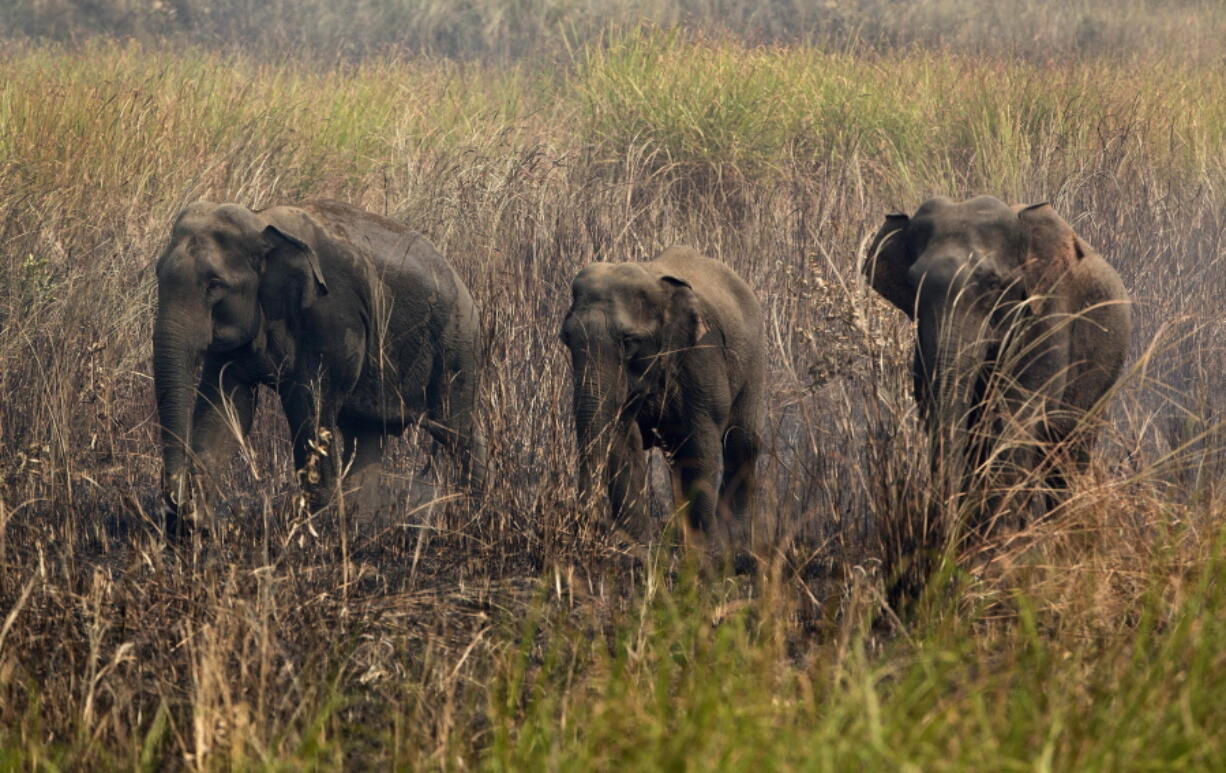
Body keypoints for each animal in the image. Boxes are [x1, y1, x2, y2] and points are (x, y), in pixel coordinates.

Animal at [149, 196, 483, 531]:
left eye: (214, 285)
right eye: (158, 275)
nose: (180, 509)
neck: (262, 223)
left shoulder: (332, 317)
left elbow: (309, 408)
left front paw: (315, 531)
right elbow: (226, 408)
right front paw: (197, 528)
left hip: (456, 347)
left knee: (458, 432)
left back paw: (476, 514)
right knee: (365, 433)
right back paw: (361, 527)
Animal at [559, 245, 765, 553]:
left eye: (628, 342)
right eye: (566, 338)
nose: (590, 522)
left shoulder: (701, 356)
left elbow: (699, 447)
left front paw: (703, 550)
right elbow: (624, 445)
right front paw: (638, 548)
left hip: (753, 361)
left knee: (741, 442)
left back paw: (734, 542)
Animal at [863, 193, 1127, 531]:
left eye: (992, 283)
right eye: (913, 283)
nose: (944, 525)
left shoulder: (1048, 315)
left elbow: (1017, 414)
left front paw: (995, 536)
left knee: (1068, 449)